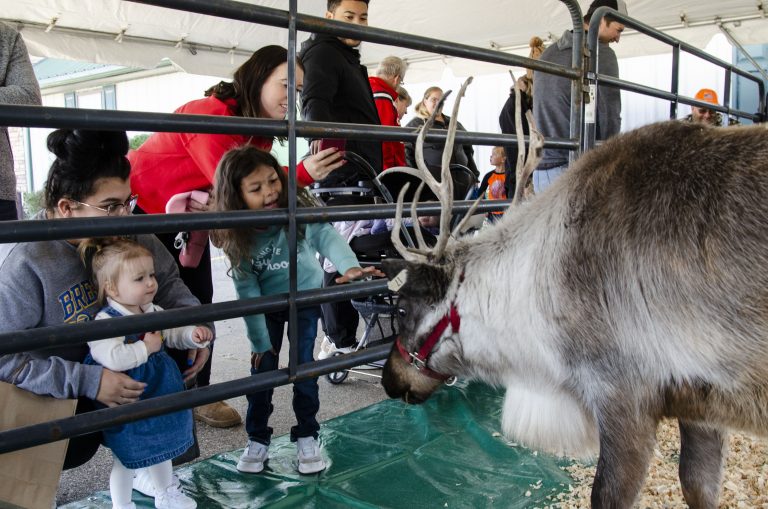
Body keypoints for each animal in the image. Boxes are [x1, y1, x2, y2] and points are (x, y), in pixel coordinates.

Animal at [379, 75, 768, 508]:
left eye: (403, 309)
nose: (388, 380)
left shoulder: (622, 397)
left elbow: (606, 496)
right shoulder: (701, 405)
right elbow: (697, 485)